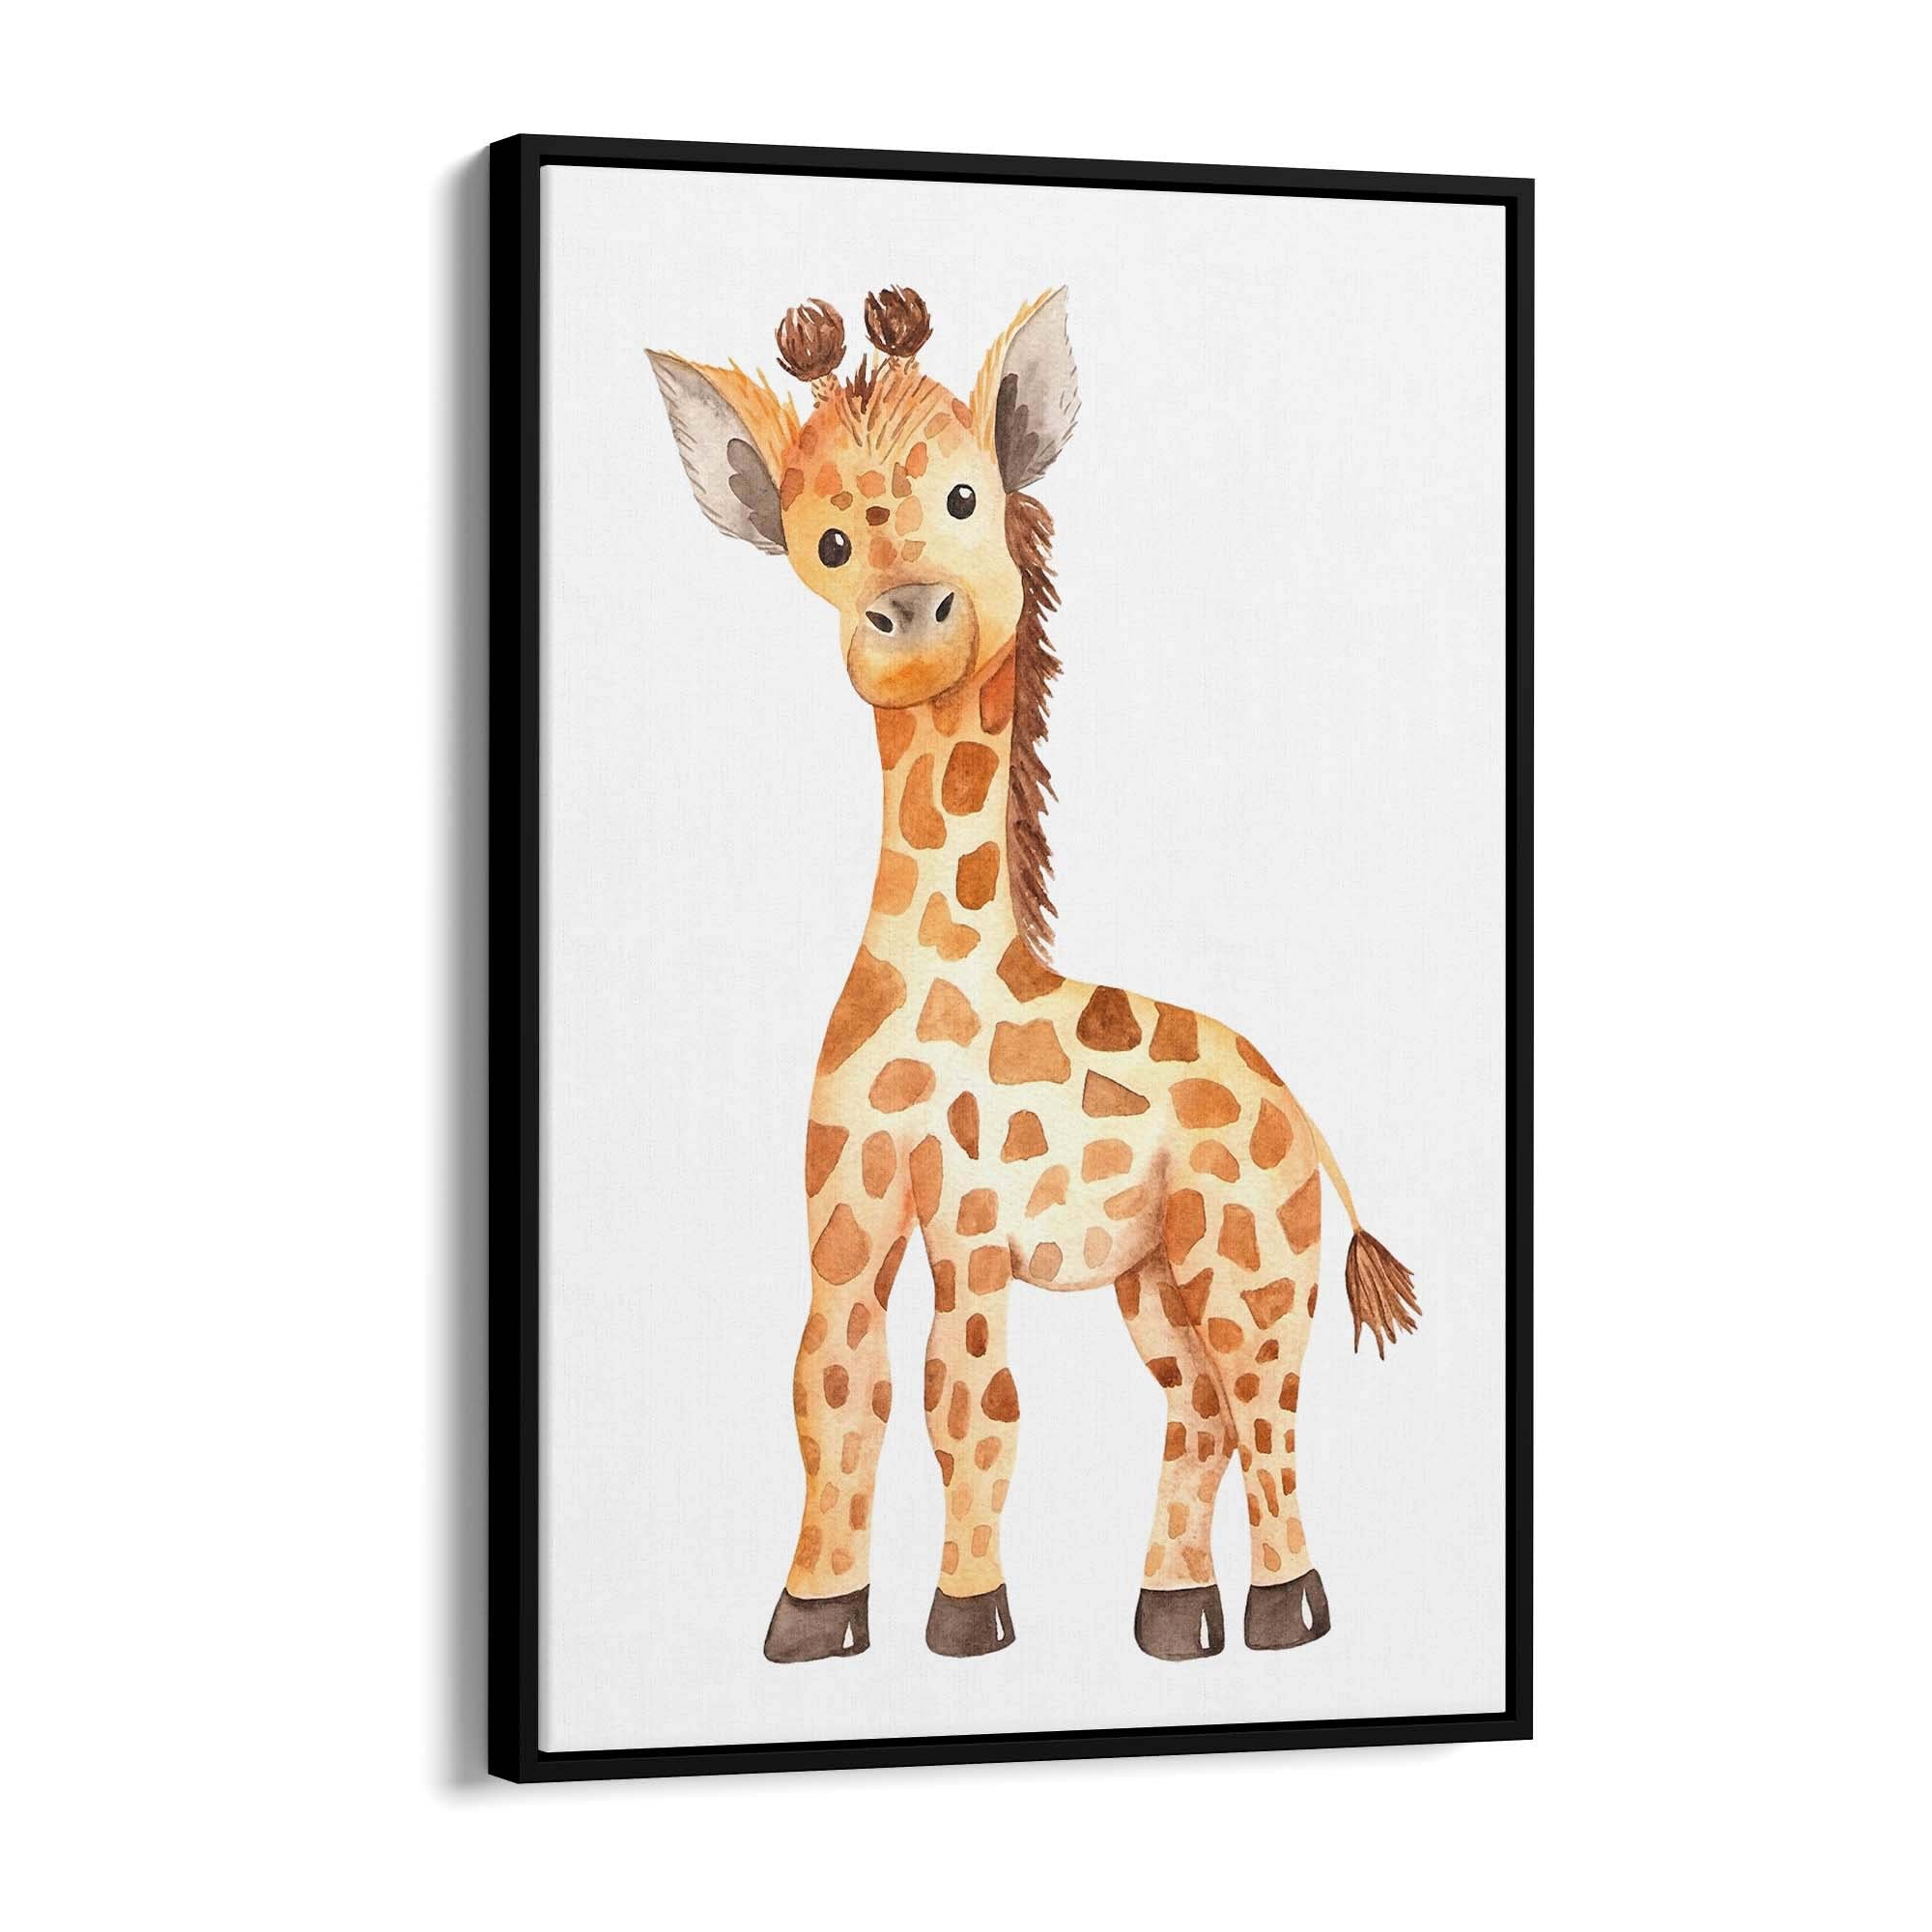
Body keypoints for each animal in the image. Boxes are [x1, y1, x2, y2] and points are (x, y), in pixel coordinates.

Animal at [647, 285, 1418, 1664]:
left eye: (965, 495)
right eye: (822, 540)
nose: (907, 618)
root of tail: (1294, 1098)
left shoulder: (969, 1220)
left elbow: (970, 1406)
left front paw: (966, 1616)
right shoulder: (842, 1211)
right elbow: (833, 1388)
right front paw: (814, 1615)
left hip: (1250, 1256)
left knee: (1266, 1401)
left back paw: (1286, 1613)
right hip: (1153, 1274)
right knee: (1199, 1409)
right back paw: (1172, 1618)